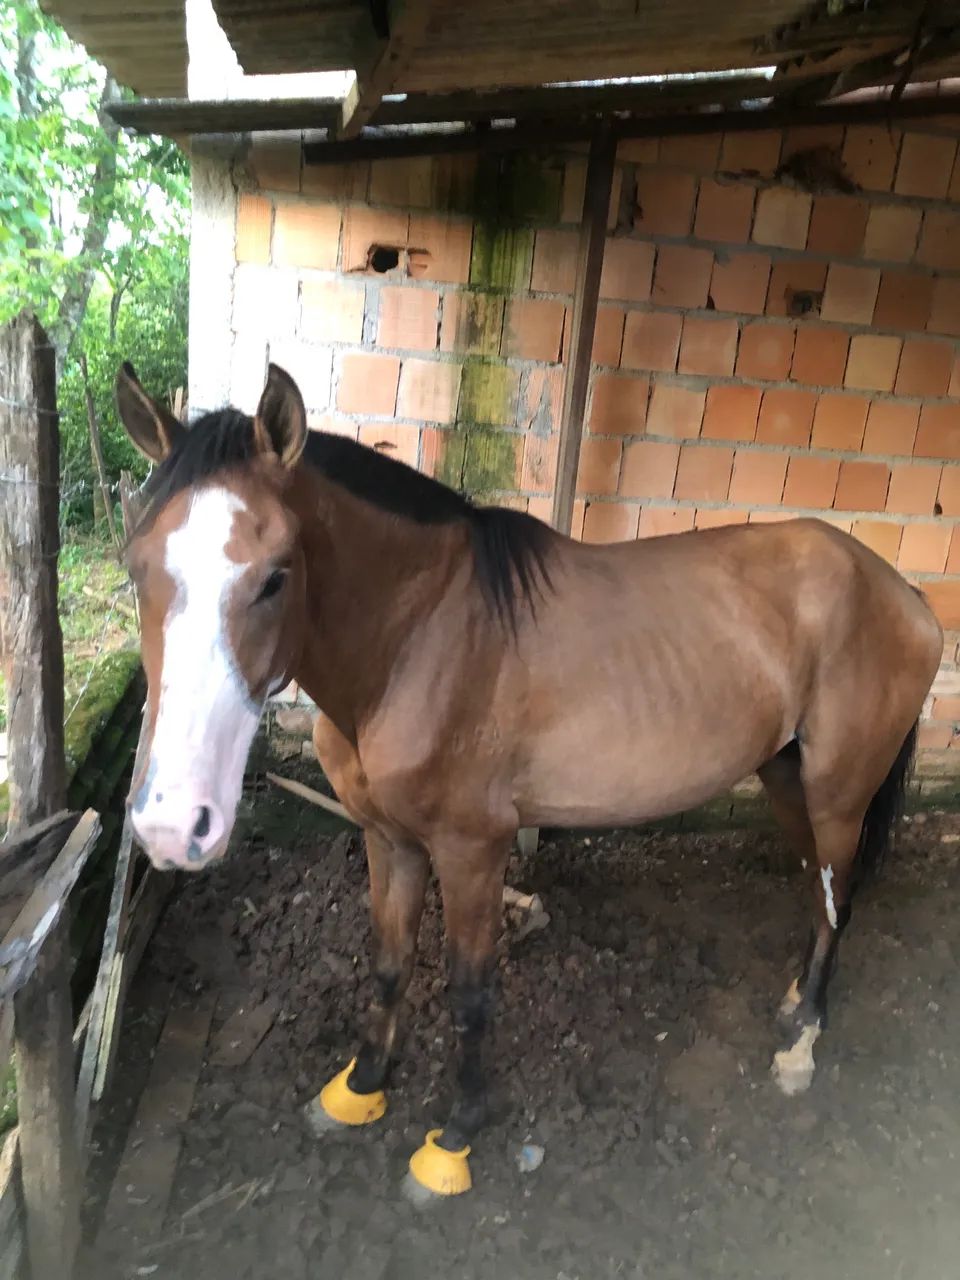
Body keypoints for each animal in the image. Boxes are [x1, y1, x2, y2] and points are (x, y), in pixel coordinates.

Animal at [115, 359, 942, 1200]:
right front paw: (361, 1088)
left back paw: (801, 1043)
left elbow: (471, 990)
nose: (171, 824)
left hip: (838, 793)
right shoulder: (389, 839)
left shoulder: (473, 850)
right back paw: (793, 1005)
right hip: (785, 777)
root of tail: (901, 592)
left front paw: (452, 1139)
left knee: (837, 899)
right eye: (135, 564)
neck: (418, 640)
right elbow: (388, 964)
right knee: (818, 890)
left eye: (276, 576)